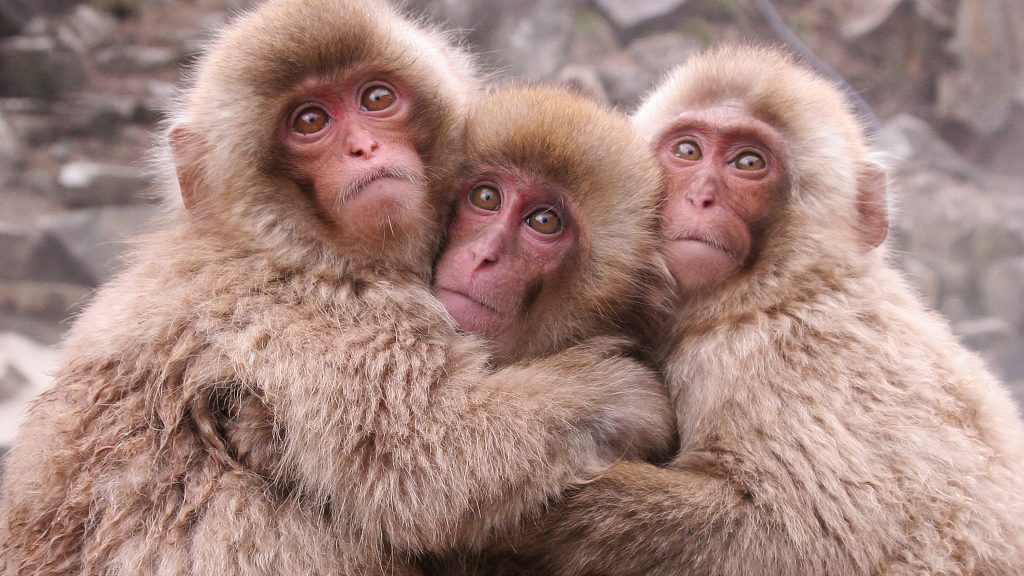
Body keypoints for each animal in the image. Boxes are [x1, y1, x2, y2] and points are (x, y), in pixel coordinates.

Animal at [0, 1, 676, 574]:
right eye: (310, 121)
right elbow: (428, 455)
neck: (288, 242)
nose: (363, 146)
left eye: (376, 97)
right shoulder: (310, 309)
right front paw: (619, 393)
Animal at [452, 44, 1024, 576]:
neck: (770, 293)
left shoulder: (772, 360)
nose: (701, 197)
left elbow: (793, 533)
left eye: (749, 163)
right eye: (687, 150)